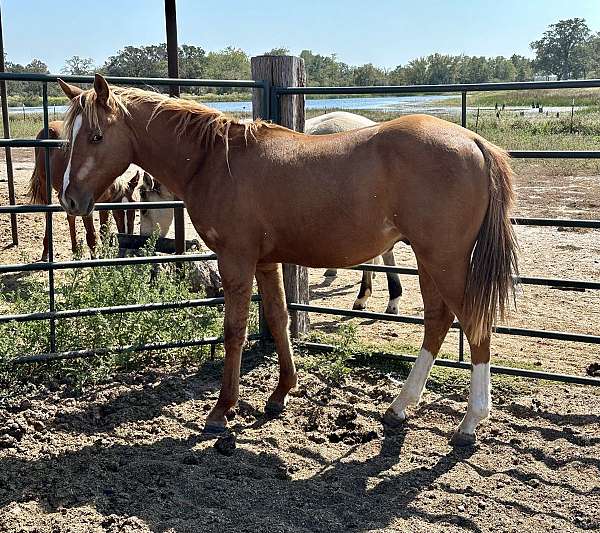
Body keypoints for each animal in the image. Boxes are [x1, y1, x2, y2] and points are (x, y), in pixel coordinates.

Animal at [28, 121, 138, 262]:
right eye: (117, 214)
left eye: (134, 211)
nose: (128, 247)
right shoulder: (86, 207)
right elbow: (91, 236)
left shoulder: (104, 204)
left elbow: (103, 232)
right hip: (46, 185)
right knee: (48, 215)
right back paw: (46, 251)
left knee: (70, 218)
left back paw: (75, 252)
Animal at [57, 75, 520, 444]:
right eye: (70, 137)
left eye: (95, 136)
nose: (70, 199)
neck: (215, 159)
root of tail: (474, 141)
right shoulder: (266, 262)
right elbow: (279, 321)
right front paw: (280, 394)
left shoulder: (236, 260)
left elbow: (235, 331)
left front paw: (221, 411)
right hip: (430, 261)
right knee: (438, 320)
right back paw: (399, 407)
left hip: (445, 260)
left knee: (474, 324)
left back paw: (469, 423)